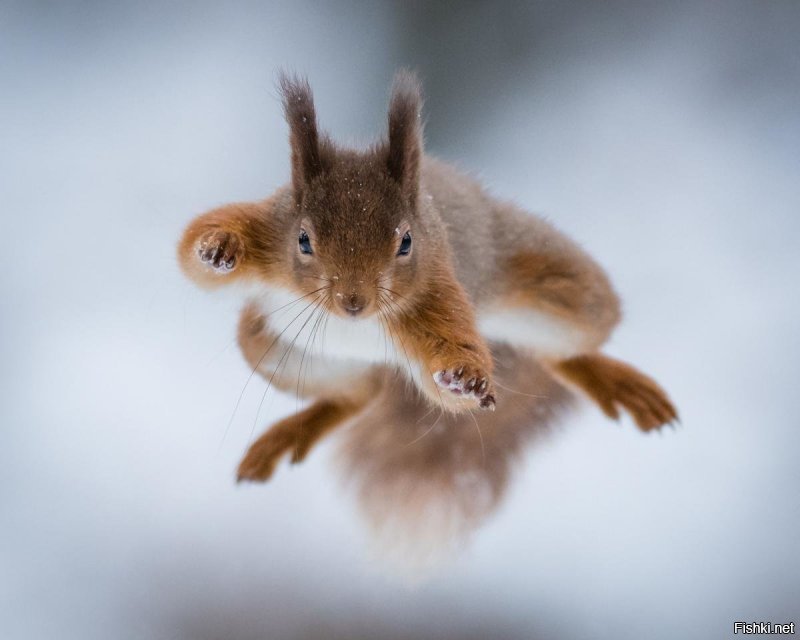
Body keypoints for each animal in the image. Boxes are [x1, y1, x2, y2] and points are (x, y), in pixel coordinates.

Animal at [175, 70, 676, 482]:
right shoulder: (269, 232)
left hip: (558, 288)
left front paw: (465, 379)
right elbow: (192, 255)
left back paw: (615, 381)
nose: (353, 303)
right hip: (274, 346)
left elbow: (451, 378)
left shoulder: (434, 289)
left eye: (406, 243)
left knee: (567, 345)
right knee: (361, 394)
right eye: (303, 240)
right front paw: (217, 248)